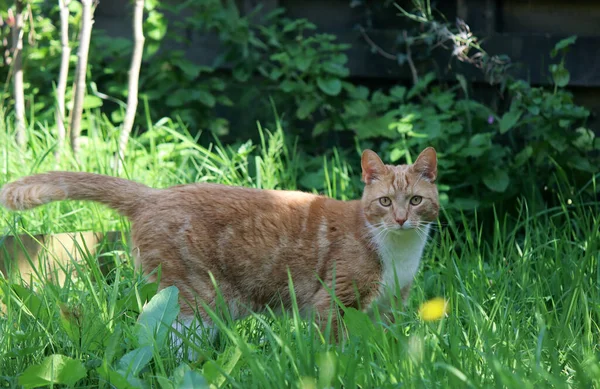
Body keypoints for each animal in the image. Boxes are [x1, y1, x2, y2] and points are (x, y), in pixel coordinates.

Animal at [1, 148, 440, 342]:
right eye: (385, 202)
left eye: (416, 200)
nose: (402, 219)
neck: (398, 252)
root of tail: (155, 194)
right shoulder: (333, 302)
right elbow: (332, 350)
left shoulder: (389, 308)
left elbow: (383, 347)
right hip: (196, 304)